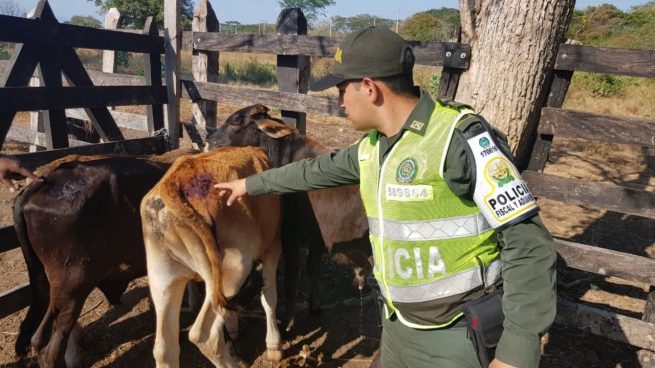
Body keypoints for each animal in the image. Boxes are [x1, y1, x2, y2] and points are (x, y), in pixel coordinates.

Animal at [141, 145, 284, 366]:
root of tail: (171, 184)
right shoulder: (272, 247)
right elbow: (269, 298)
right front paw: (274, 346)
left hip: (163, 280)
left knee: (164, 349)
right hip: (232, 271)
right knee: (205, 336)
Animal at [205, 103, 374, 330]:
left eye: (235, 121)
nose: (209, 141)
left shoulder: (291, 232)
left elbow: (292, 276)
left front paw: (287, 322)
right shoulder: (315, 236)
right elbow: (313, 269)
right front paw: (314, 307)